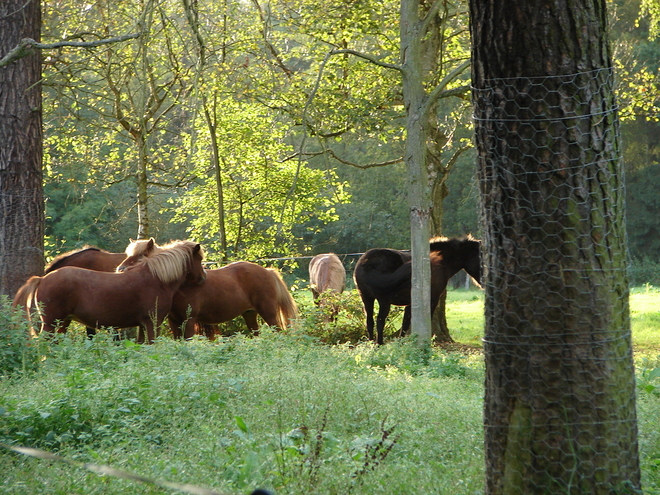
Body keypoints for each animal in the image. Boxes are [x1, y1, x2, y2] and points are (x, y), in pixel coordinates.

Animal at [13, 241, 206, 344]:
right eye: (200, 259)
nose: (203, 277)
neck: (155, 278)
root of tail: (42, 278)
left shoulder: (143, 324)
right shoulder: (153, 322)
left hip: (63, 323)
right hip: (51, 324)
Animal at [354, 235, 482, 344]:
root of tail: (366, 262)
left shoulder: (410, 303)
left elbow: (406, 323)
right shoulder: (432, 299)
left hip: (366, 297)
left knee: (369, 321)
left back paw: (371, 344)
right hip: (383, 300)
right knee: (380, 320)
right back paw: (379, 344)